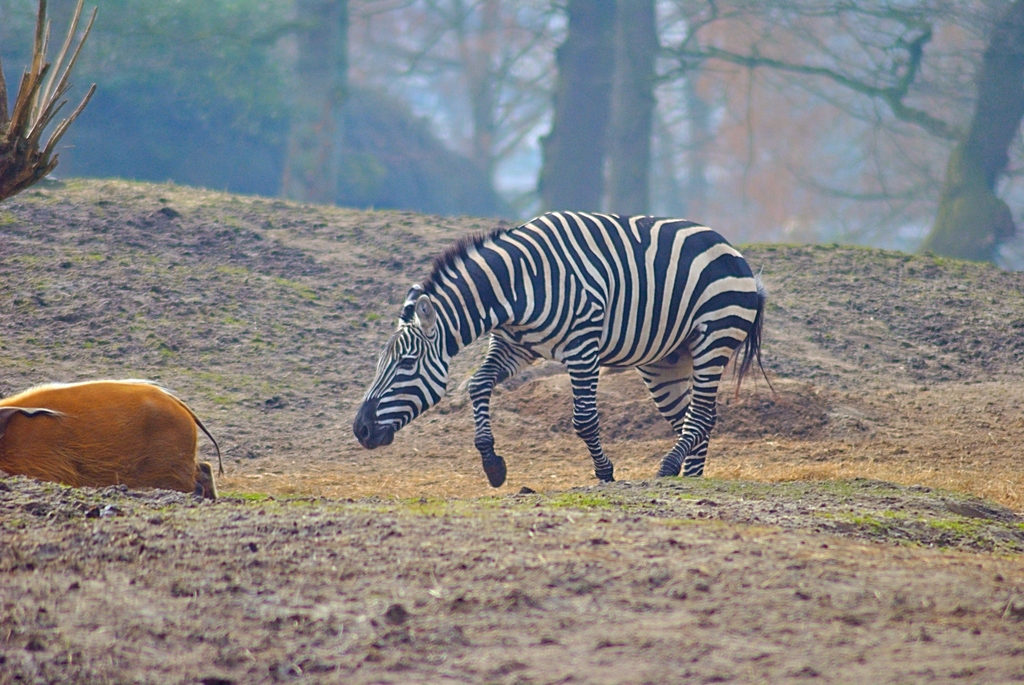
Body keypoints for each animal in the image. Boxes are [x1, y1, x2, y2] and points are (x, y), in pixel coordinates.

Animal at [353, 211, 766, 487]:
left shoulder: (583, 346)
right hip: (665, 361)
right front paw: (492, 463)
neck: (515, 285)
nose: (360, 429)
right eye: (380, 363)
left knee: (698, 417)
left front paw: (605, 473)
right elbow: (477, 385)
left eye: (406, 364)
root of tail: (735, 253)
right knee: (696, 417)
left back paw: (667, 468)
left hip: (714, 337)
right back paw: (689, 480)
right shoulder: (514, 345)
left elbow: (583, 420)